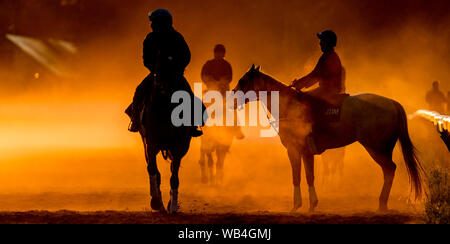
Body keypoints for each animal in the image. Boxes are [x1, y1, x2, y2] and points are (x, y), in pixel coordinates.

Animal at [232, 65, 422, 212]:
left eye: (243, 80)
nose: (232, 97)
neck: (289, 106)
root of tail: (392, 103)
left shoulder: (294, 150)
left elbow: (298, 176)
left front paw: (297, 205)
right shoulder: (306, 153)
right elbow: (308, 176)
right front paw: (310, 204)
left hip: (377, 148)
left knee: (389, 170)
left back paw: (381, 204)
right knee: (388, 171)